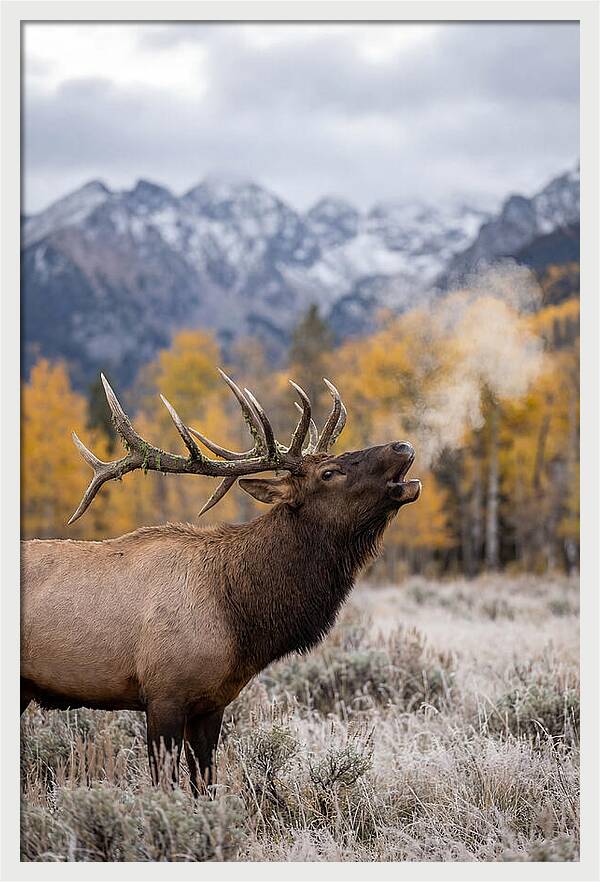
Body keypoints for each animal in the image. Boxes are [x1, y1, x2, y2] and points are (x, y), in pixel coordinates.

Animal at [21, 369, 421, 794]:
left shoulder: (212, 703)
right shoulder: (163, 694)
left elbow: (206, 783)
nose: (402, 446)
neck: (239, 619)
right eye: (328, 472)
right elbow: (164, 785)